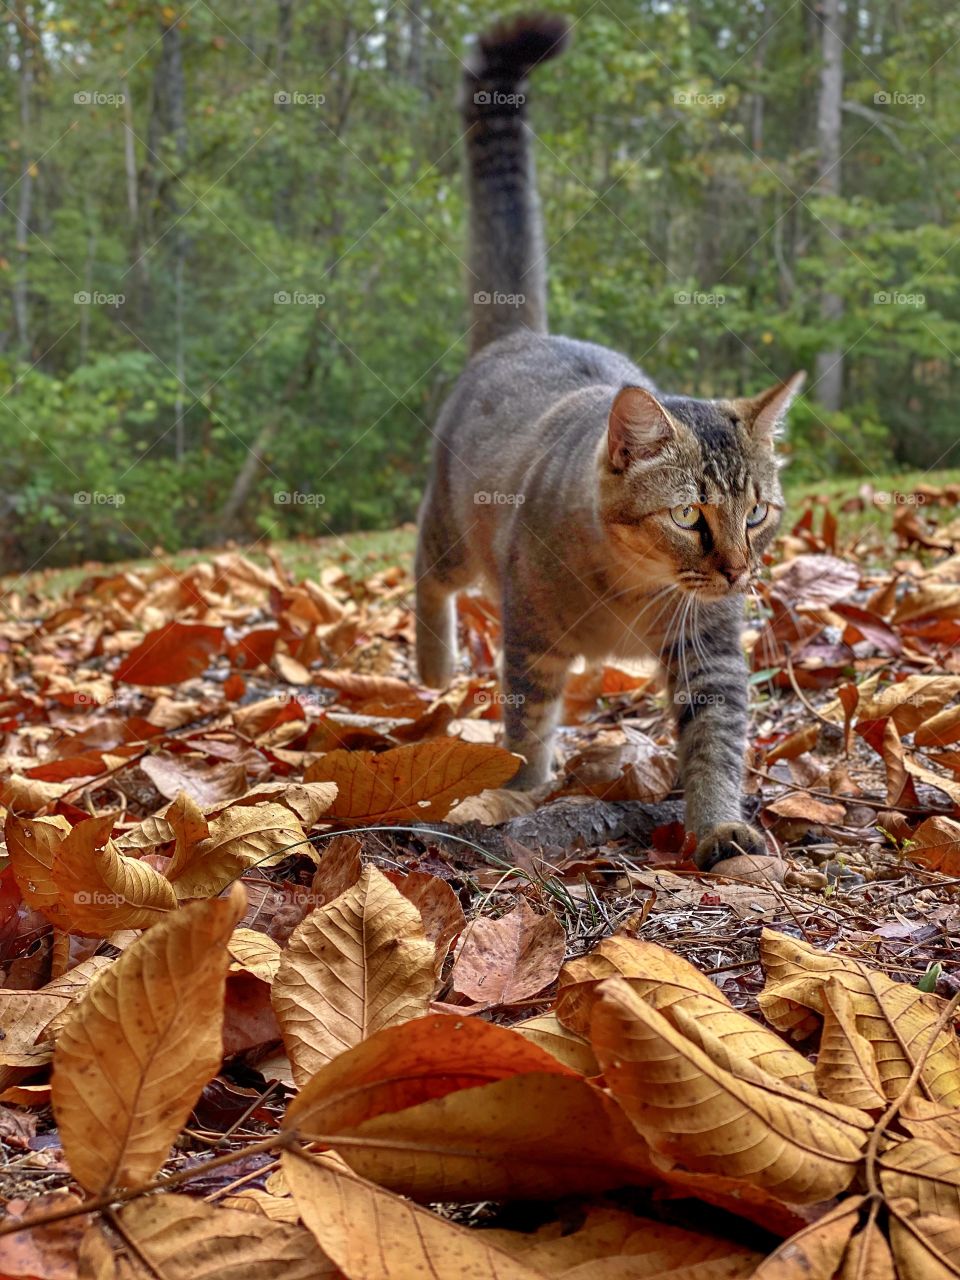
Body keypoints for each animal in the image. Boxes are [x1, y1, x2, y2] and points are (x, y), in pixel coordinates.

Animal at [414, 12, 803, 870]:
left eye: (757, 513)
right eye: (690, 515)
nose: (739, 569)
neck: (632, 588)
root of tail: (524, 333)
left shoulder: (710, 648)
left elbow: (715, 738)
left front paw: (717, 825)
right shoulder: (528, 632)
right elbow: (528, 721)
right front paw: (520, 790)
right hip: (456, 532)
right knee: (427, 571)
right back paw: (432, 664)